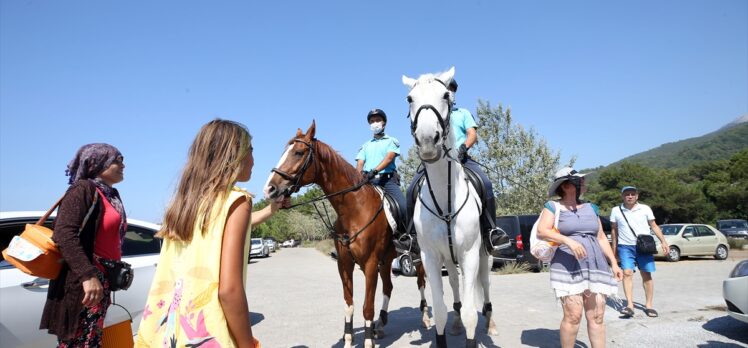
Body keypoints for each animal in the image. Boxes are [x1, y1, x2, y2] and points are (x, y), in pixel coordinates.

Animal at [264, 121, 432, 346]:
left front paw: (368, 342)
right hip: (387, 260)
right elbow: (349, 304)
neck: (354, 210)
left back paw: (425, 318)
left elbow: (367, 307)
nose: (270, 189)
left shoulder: (370, 264)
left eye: (299, 152)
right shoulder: (345, 264)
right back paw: (381, 325)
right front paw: (349, 339)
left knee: (421, 282)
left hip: (416, 256)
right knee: (388, 288)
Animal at [404, 66, 496, 346]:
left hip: (483, 254)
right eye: (409, 99)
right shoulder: (430, 257)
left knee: (485, 284)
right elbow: (441, 310)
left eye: (446, 95)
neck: (445, 204)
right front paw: (448, 325)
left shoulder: (469, 253)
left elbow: (470, 314)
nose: (427, 140)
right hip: (448, 257)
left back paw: (491, 324)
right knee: (455, 284)